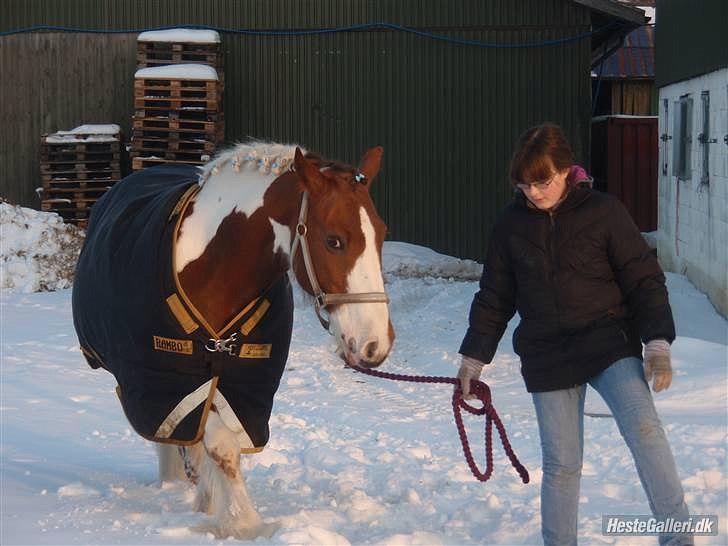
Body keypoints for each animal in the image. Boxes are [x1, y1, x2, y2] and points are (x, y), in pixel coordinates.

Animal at [71, 140, 396, 536]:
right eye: (334, 240)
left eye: (381, 233)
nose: (375, 344)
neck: (211, 268)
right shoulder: (163, 381)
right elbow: (217, 444)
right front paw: (244, 522)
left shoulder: (245, 384)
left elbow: (225, 445)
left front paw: (219, 508)